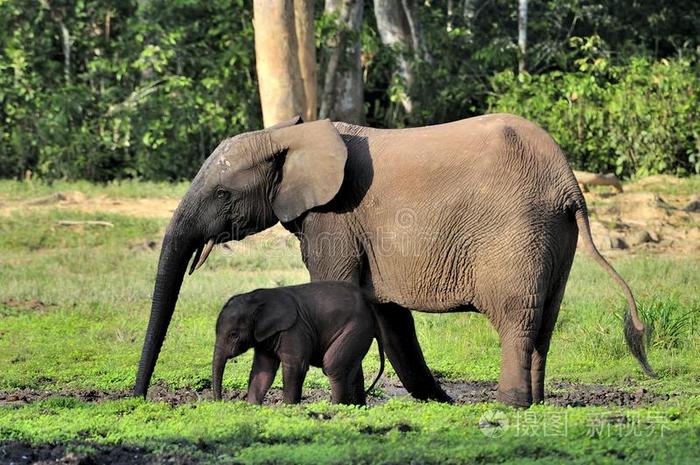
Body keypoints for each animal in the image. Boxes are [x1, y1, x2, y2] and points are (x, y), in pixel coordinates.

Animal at [213, 280, 388, 404]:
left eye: (234, 335)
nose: (220, 402)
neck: (257, 298)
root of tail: (370, 307)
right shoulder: (265, 337)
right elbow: (263, 370)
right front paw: (252, 407)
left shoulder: (295, 329)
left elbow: (295, 366)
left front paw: (288, 407)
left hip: (356, 328)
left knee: (333, 366)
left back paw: (336, 407)